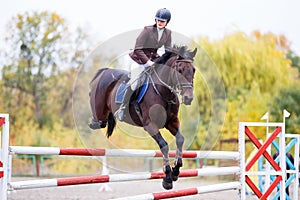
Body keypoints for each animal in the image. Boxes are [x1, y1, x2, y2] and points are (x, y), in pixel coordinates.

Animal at [89, 45, 197, 189]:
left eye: (193, 70)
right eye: (179, 70)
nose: (188, 98)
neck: (163, 92)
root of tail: (105, 71)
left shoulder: (171, 121)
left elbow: (180, 139)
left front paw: (176, 171)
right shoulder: (149, 124)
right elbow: (164, 145)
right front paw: (167, 178)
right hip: (99, 109)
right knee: (98, 121)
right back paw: (94, 121)